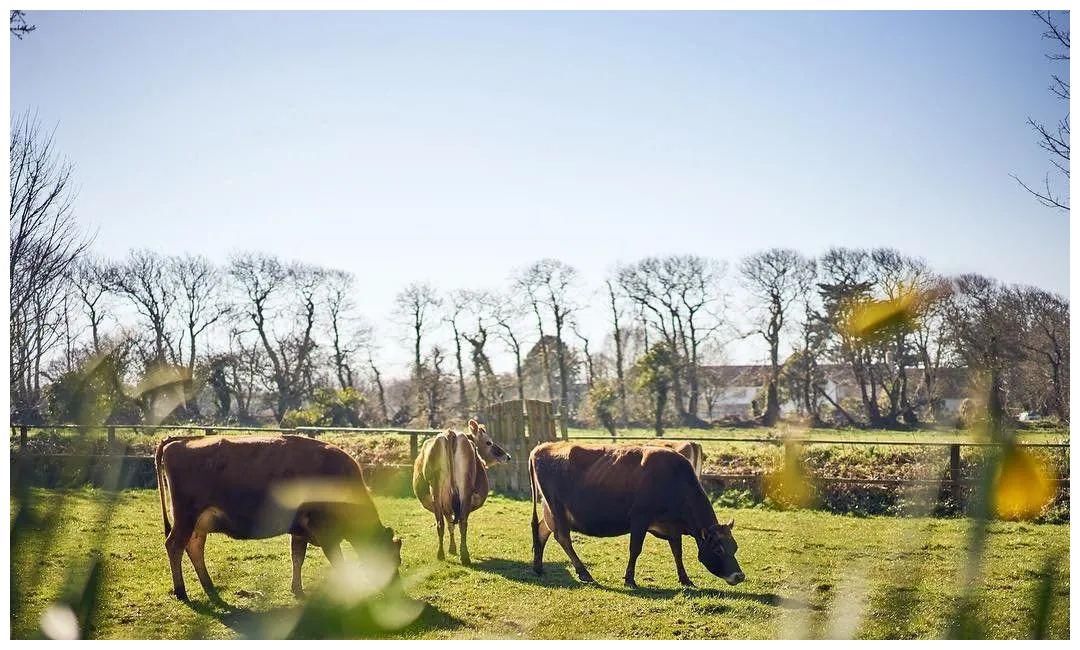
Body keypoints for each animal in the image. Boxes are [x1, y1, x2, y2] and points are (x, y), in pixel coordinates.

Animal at [153, 431, 401, 600]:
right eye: (392, 559)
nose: (395, 586)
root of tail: (177, 441)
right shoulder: (326, 534)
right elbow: (337, 561)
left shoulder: (300, 532)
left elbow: (297, 558)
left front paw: (297, 589)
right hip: (185, 519)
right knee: (174, 546)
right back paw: (181, 591)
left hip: (198, 523)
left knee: (194, 547)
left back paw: (209, 585)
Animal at [412, 421, 514, 561]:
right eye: (489, 442)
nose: (507, 456)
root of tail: (450, 433)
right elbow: (452, 522)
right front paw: (453, 549)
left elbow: (450, 523)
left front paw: (452, 549)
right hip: (463, 491)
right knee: (461, 522)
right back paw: (464, 555)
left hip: (437, 491)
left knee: (443, 524)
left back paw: (442, 554)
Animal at [529, 440, 743, 587]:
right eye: (718, 549)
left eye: (734, 547)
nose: (739, 576)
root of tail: (543, 447)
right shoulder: (640, 519)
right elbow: (635, 549)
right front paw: (630, 579)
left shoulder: (672, 526)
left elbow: (677, 552)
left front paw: (685, 579)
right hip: (557, 508)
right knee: (563, 537)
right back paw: (584, 573)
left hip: (551, 511)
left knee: (542, 530)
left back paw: (538, 567)